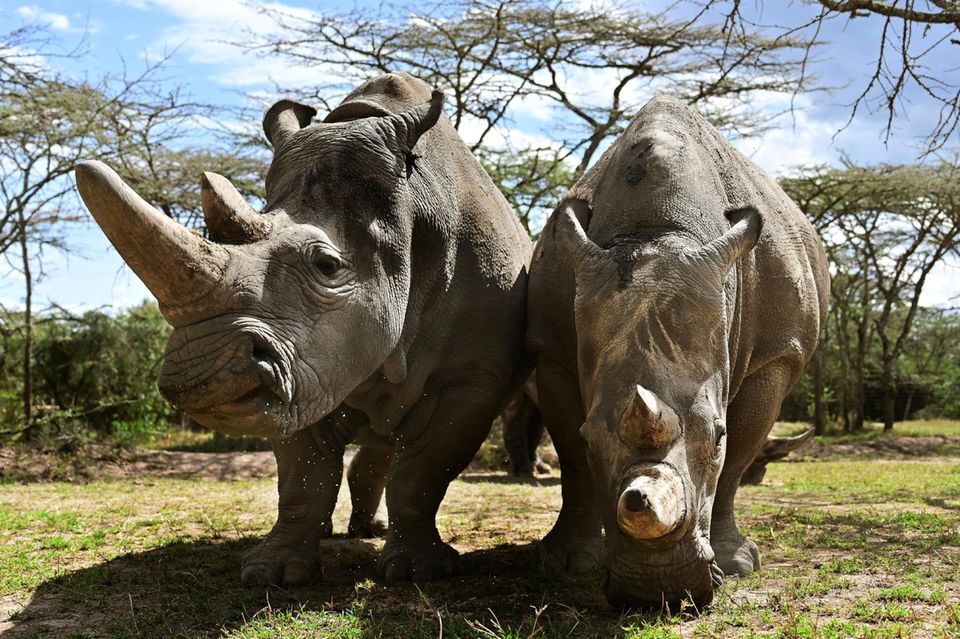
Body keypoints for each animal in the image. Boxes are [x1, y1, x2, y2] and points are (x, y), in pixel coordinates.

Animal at [77, 72, 532, 588]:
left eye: (328, 266)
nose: (199, 374)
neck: (411, 212)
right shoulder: (301, 369)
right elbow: (304, 475)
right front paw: (275, 574)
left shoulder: (472, 375)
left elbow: (422, 470)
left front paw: (420, 573)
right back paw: (352, 530)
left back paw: (374, 533)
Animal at [528, 95, 828, 608]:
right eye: (591, 439)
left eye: (717, 436)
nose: (658, 592)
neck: (657, 229)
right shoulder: (550, 347)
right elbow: (569, 453)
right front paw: (569, 562)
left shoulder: (777, 354)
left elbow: (740, 456)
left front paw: (736, 563)